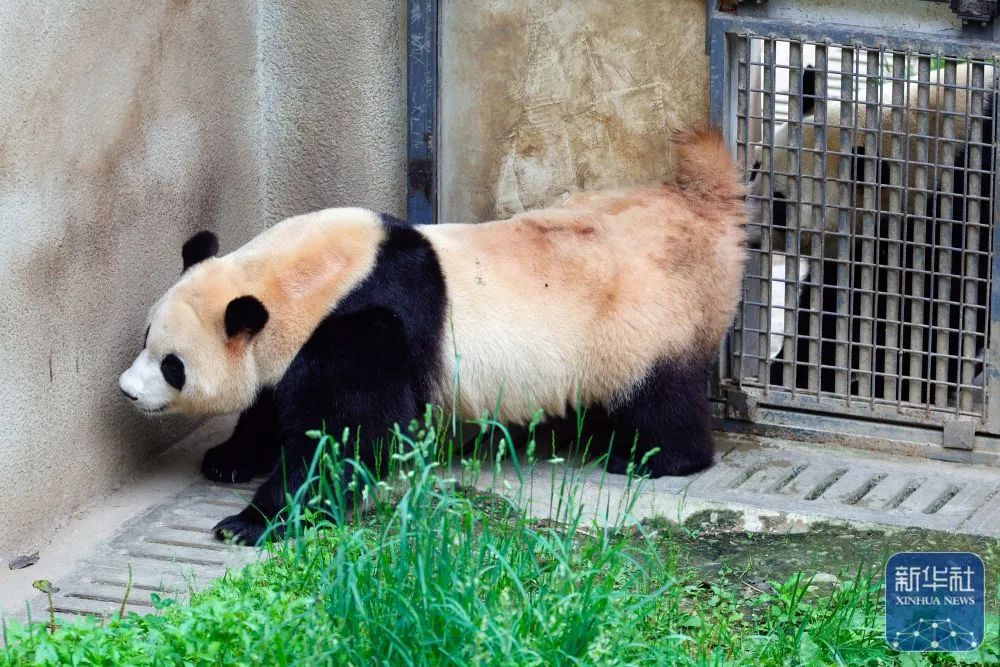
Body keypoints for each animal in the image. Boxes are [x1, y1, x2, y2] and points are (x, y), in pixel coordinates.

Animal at [117, 128, 748, 544]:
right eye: (145, 336)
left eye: (172, 364)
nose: (127, 390)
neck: (304, 280)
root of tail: (702, 213)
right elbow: (275, 405)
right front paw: (229, 459)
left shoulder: (365, 322)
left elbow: (348, 431)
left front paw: (252, 521)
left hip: (643, 319)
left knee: (660, 395)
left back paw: (650, 458)